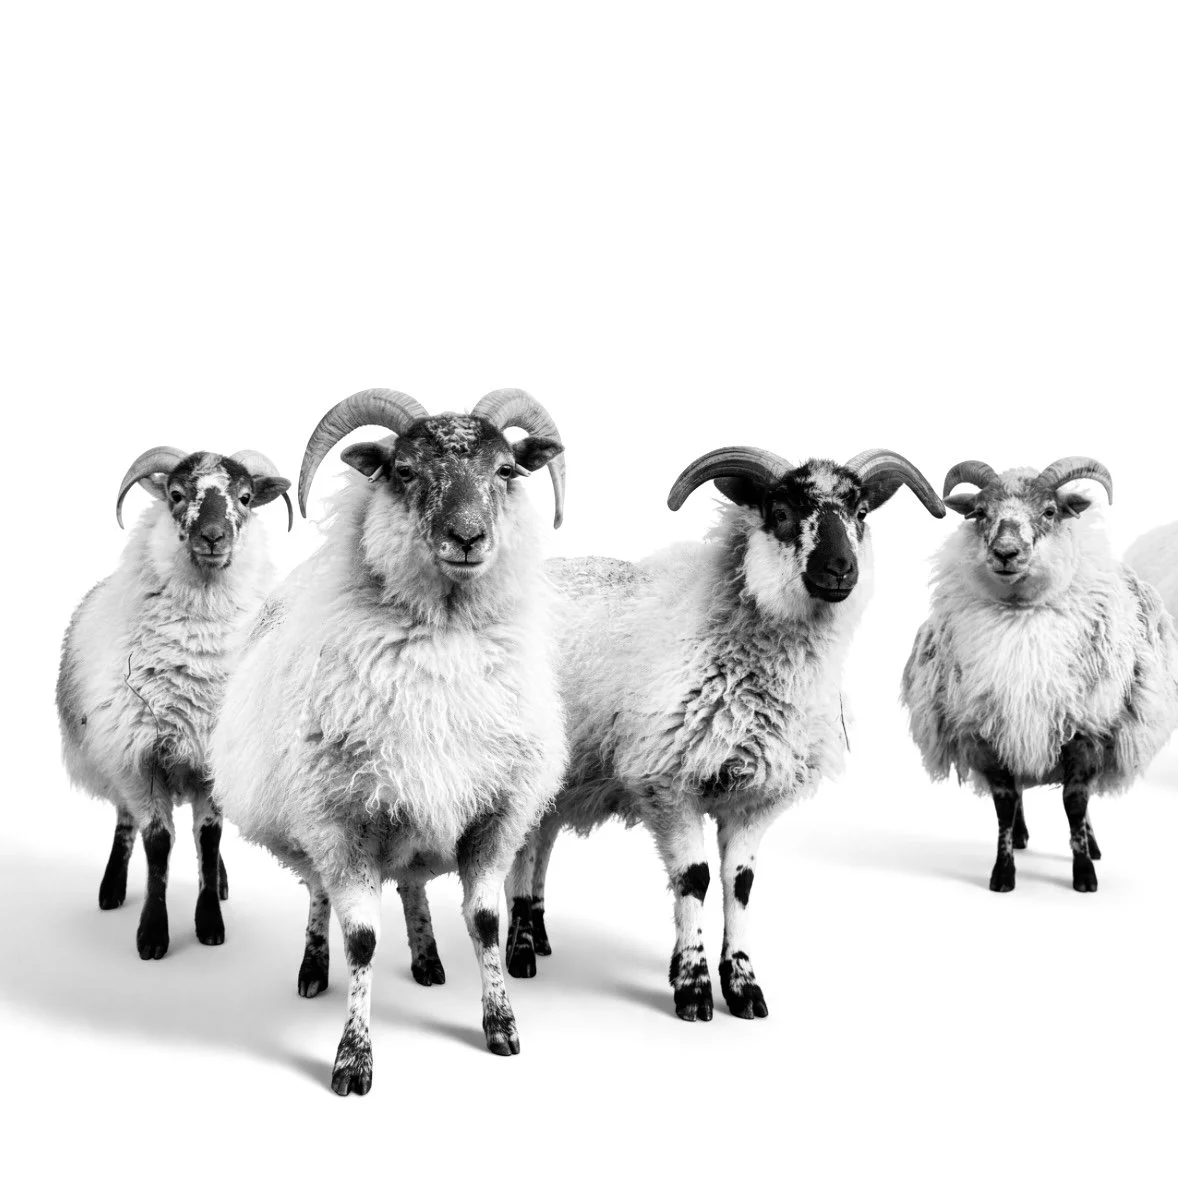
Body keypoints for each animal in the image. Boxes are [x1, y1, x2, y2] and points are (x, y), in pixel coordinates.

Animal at [56, 447, 292, 958]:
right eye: (177, 494)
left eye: (246, 497)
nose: (213, 536)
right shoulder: (139, 755)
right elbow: (158, 844)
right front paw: (152, 933)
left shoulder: (212, 757)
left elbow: (209, 838)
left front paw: (210, 922)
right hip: (112, 751)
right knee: (125, 821)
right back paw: (111, 888)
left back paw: (220, 882)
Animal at [210, 388, 568, 1096]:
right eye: (404, 471)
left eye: (506, 470)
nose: (468, 537)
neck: (446, 641)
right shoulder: (340, 820)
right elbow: (362, 942)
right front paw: (353, 1057)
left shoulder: (494, 813)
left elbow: (486, 923)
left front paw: (501, 1026)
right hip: (309, 819)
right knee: (319, 892)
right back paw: (312, 969)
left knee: (410, 881)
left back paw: (427, 959)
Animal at [491, 445, 946, 1022]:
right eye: (779, 512)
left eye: (861, 513)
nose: (842, 568)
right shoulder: (666, 783)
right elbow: (695, 879)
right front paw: (692, 986)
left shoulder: (757, 794)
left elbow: (740, 884)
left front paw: (744, 985)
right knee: (523, 850)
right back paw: (521, 949)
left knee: (541, 844)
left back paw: (537, 932)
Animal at [901, 458, 1178, 893]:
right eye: (979, 513)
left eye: (1050, 511)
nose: (1005, 552)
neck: (1021, 613)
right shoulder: (988, 731)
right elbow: (1004, 802)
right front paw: (1003, 872)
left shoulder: (1086, 730)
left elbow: (1075, 803)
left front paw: (1084, 873)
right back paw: (1020, 836)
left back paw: (1092, 845)